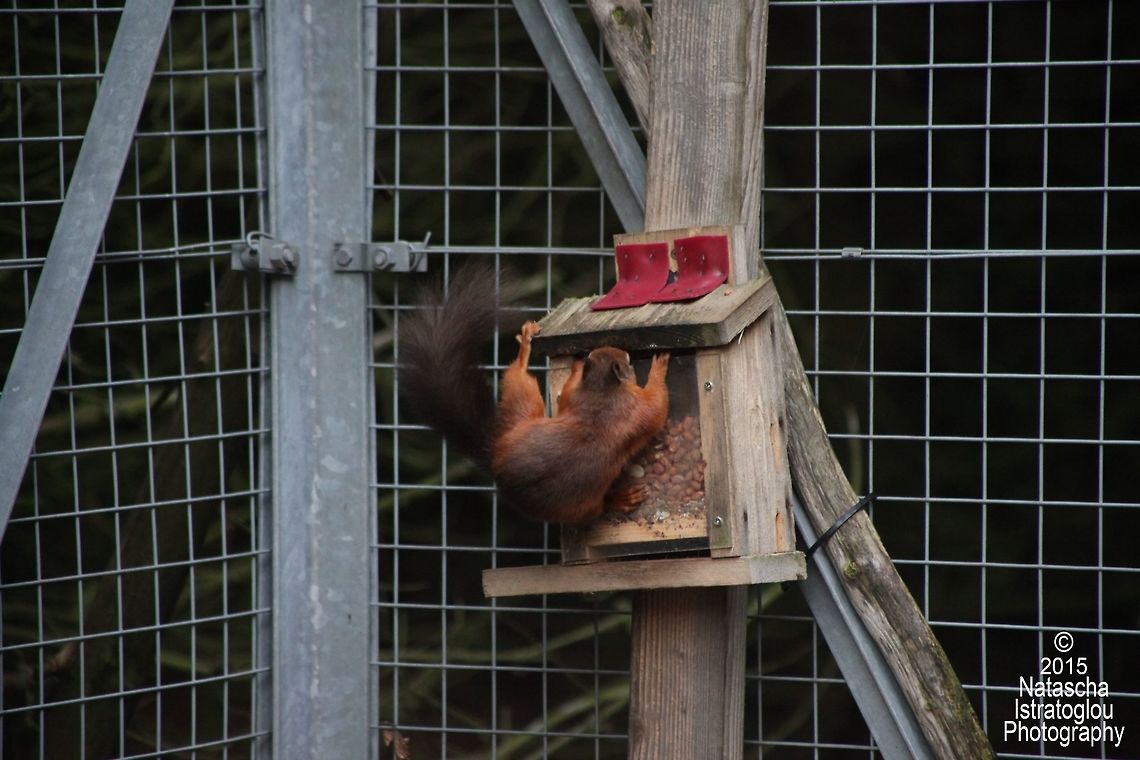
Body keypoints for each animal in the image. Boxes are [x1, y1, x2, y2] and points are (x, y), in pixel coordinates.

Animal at [400, 266, 670, 524]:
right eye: (628, 361)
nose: (622, 352)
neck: (600, 394)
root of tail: (495, 459)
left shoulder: (576, 397)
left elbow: (568, 391)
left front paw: (576, 367)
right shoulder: (636, 412)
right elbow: (656, 409)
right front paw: (659, 367)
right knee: (521, 379)